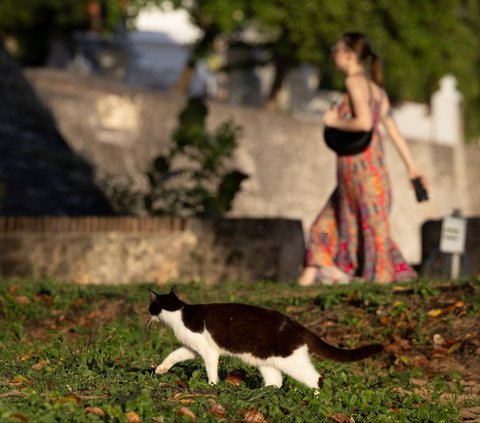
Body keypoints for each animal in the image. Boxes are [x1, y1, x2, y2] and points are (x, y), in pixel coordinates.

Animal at [147, 286, 382, 390]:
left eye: (151, 307)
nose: (148, 314)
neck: (179, 314)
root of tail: (294, 323)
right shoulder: (194, 347)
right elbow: (174, 354)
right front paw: (160, 369)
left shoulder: (209, 350)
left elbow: (210, 369)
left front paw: (213, 386)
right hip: (268, 362)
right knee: (275, 382)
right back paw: (262, 394)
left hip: (291, 360)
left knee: (317, 379)